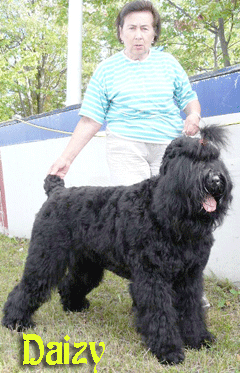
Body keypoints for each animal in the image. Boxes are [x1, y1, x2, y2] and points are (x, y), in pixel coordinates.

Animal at [1, 125, 232, 364]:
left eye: (215, 158)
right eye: (190, 159)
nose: (216, 179)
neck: (165, 210)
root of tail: (56, 192)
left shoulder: (190, 277)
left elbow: (191, 310)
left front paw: (199, 339)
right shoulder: (153, 278)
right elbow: (160, 314)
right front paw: (168, 350)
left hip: (87, 265)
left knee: (70, 283)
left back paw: (73, 306)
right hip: (46, 258)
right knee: (28, 287)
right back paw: (15, 321)